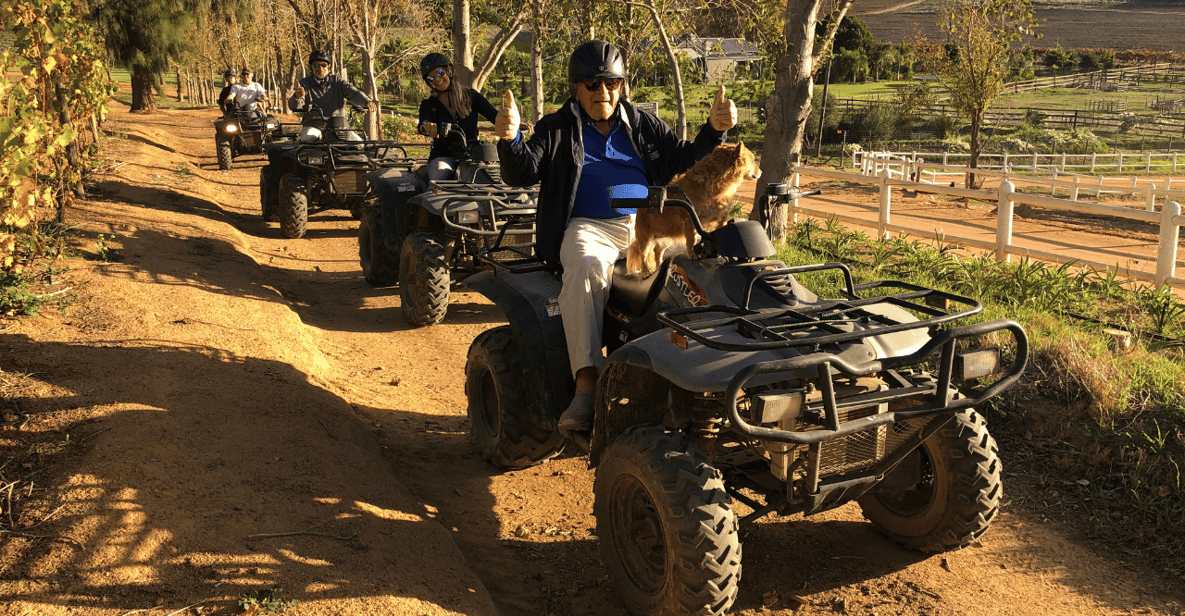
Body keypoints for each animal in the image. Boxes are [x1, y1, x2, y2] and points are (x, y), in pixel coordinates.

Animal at [630, 142, 758, 277]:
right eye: (753, 161)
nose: (761, 171)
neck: (718, 186)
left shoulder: (721, 219)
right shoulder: (690, 219)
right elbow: (691, 239)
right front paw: (692, 254)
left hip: (665, 238)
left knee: (658, 252)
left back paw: (658, 267)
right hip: (645, 238)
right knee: (644, 255)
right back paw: (646, 271)